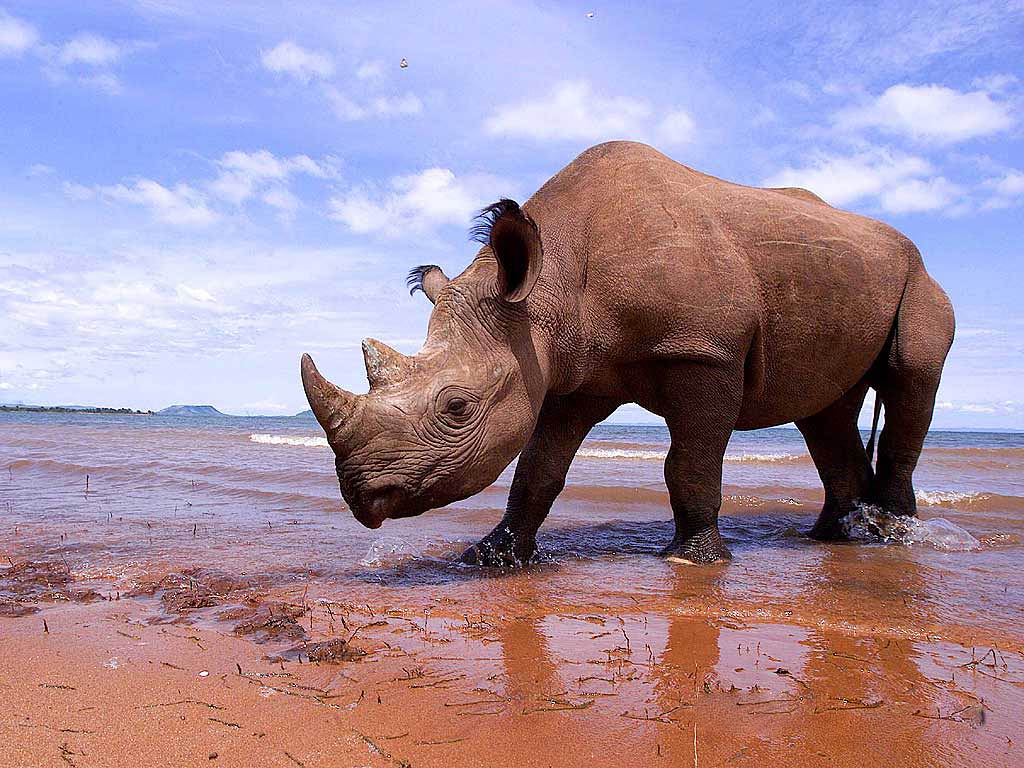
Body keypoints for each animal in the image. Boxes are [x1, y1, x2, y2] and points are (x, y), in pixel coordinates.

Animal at [301, 141, 954, 566]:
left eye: (457, 407)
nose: (361, 497)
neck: (549, 286)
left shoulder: (703, 352)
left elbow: (690, 463)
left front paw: (697, 559)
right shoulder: (568, 371)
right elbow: (538, 468)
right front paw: (493, 557)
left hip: (919, 277)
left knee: (910, 378)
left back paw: (893, 535)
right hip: (841, 276)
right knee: (824, 409)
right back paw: (837, 539)